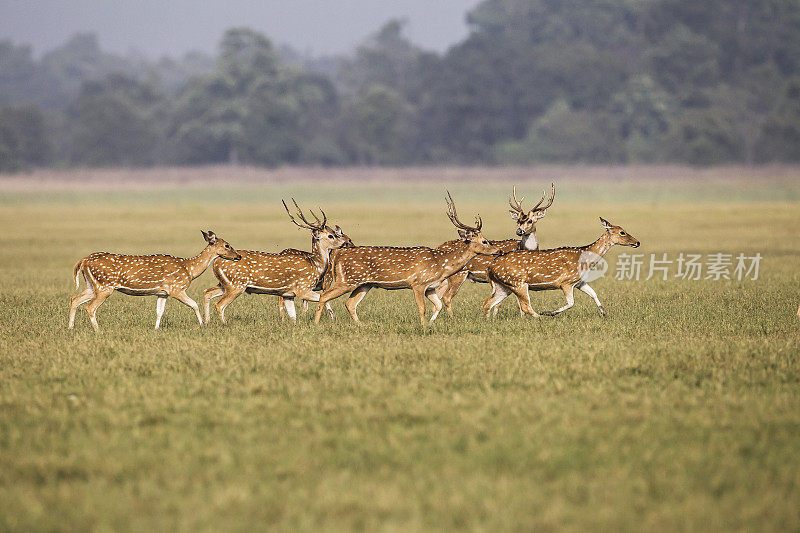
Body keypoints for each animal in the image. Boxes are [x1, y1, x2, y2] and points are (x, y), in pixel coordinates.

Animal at [70, 231, 239, 330]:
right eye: (227, 245)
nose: (238, 256)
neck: (189, 269)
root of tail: (83, 261)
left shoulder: (162, 293)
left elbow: (159, 312)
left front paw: (156, 329)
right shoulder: (176, 288)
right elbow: (194, 304)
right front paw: (202, 325)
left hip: (92, 285)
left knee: (75, 299)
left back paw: (70, 327)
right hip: (104, 285)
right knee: (90, 307)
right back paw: (97, 330)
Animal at [202, 201, 348, 322]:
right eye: (331, 235)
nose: (344, 243)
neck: (316, 265)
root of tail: (215, 262)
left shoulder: (288, 294)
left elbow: (293, 316)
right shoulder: (302, 288)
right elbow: (324, 298)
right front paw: (334, 320)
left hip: (225, 284)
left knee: (207, 292)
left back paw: (207, 322)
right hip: (236, 285)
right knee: (219, 304)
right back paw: (224, 324)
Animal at [314, 191, 500, 324]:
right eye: (485, 241)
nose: (497, 250)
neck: (440, 265)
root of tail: (338, 254)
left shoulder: (431, 287)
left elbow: (438, 305)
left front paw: (430, 324)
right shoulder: (418, 283)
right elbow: (422, 308)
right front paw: (423, 326)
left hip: (364, 284)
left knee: (350, 303)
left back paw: (360, 325)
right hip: (347, 280)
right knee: (324, 296)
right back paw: (316, 324)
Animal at [434, 184, 552, 316]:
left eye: (530, 220)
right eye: (518, 220)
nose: (519, 231)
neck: (521, 247)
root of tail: (438, 248)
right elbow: (507, 302)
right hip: (458, 274)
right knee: (446, 297)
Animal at [484, 218, 640, 318]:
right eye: (622, 232)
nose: (637, 242)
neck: (586, 261)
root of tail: (491, 268)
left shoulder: (579, 282)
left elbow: (594, 294)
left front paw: (604, 314)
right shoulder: (566, 282)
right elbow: (571, 303)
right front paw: (549, 313)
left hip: (504, 285)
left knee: (487, 303)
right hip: (517, 282)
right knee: (525, 307)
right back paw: (541, 317)